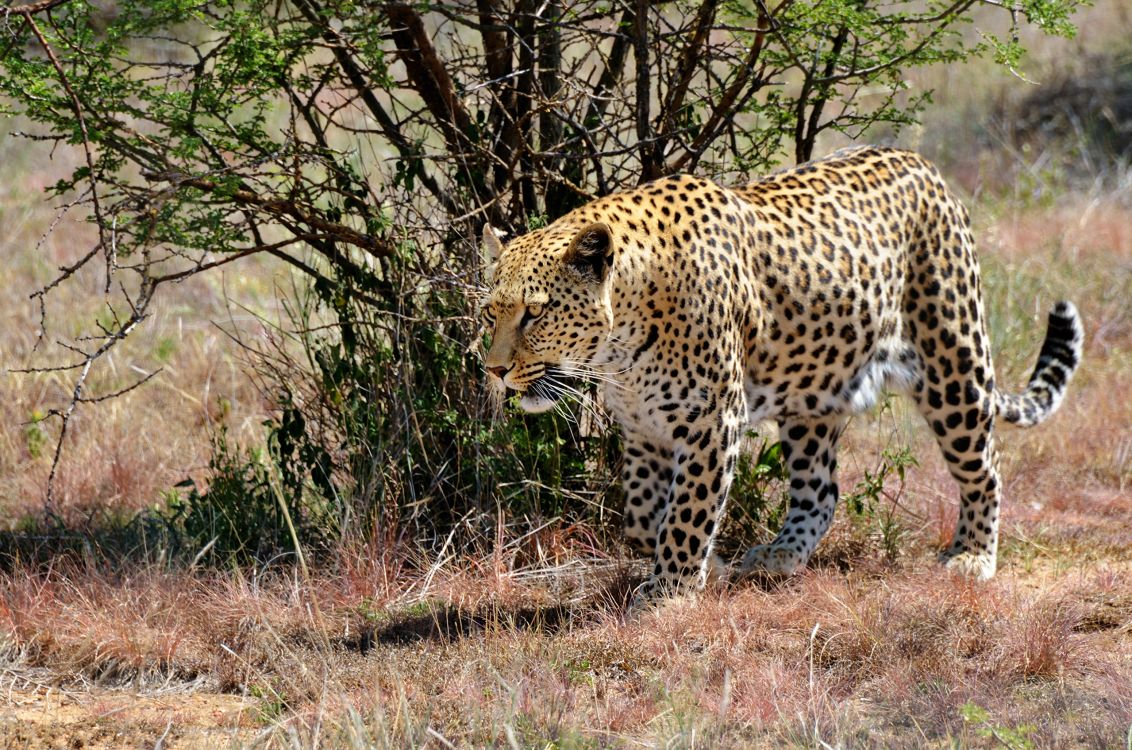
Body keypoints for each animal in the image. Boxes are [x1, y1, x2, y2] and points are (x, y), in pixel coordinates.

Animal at [475, 147, 1077, 606]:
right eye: (489, 314)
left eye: (535, 313)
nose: (496, 371)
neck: (619, 345)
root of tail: (926, 166)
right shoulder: (644, 428)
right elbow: (644, 516)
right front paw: (707, 568)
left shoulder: (711, 421)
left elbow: (687, 511)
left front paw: (671, 591)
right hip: (813, 397)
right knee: (822, 489)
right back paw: (781, 555)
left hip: (953, 361)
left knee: (986, 466)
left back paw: (973, 555)